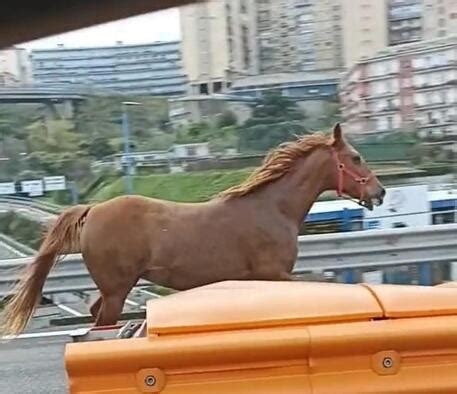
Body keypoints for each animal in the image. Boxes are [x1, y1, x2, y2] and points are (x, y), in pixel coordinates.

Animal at [0, 124, 384, 334]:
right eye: (355, 157)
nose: (379, 192)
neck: (273, 209)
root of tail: (92, 209)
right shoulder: (274, 274)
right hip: (117, 289)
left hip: (113, 290)